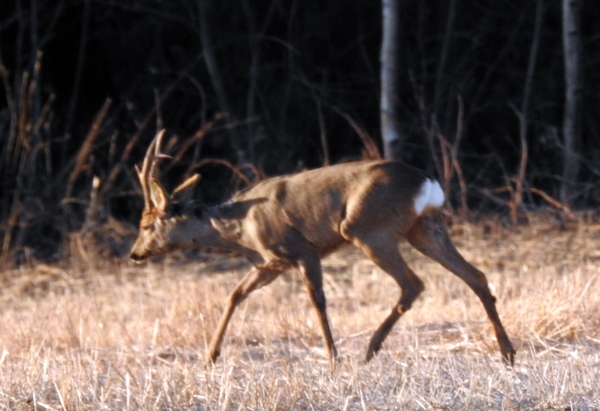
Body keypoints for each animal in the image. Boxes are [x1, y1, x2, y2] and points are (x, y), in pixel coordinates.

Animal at [130, 131, 516, 366]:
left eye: (146, 224)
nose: (135, 253)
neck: (239, 228)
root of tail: (427, 182)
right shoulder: (270, 264)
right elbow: (235, 295)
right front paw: (211, 356)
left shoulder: (300, 250)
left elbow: (317, 301)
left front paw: (332, 357)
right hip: (423, 228)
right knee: (476, 276)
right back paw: (507, 352)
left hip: (368, 229)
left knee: (413, 283)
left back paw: (369, 349)